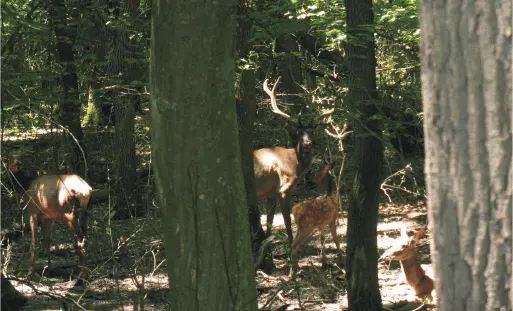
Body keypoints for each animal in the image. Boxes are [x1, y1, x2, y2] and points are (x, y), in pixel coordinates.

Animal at [6, 158, 93, 286]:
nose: (16, 164)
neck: (25, 187)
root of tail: (86, 191)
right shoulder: (47, 216)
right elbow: (47, 240)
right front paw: (49, 269)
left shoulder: (33, 212)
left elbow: (34, 242)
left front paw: (31, 273)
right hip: (84, 213)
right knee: (85, 238)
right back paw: (85, 275)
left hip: (69, 214)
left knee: (81, 241)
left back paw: (81, 277)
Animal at [252, 78, 332, 249]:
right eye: (299, 132)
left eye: (311, 132)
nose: (307, 143)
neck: (295, 165)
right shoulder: (283, 189)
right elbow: (287, 221)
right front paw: (290, 245)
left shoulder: (270, 194)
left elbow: (269, 222)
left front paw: (268, 245)